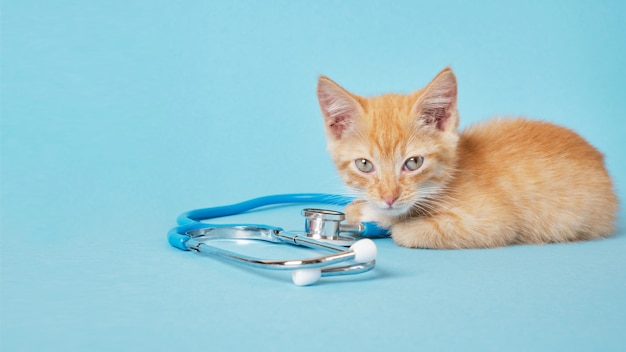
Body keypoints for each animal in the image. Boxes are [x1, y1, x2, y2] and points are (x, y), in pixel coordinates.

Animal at [314, 68, 616, 248]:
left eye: (413, 163)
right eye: (364, 165)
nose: (389, 198)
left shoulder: (491, 222)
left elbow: (404, 230)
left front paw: (379, 216)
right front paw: (362, 206)